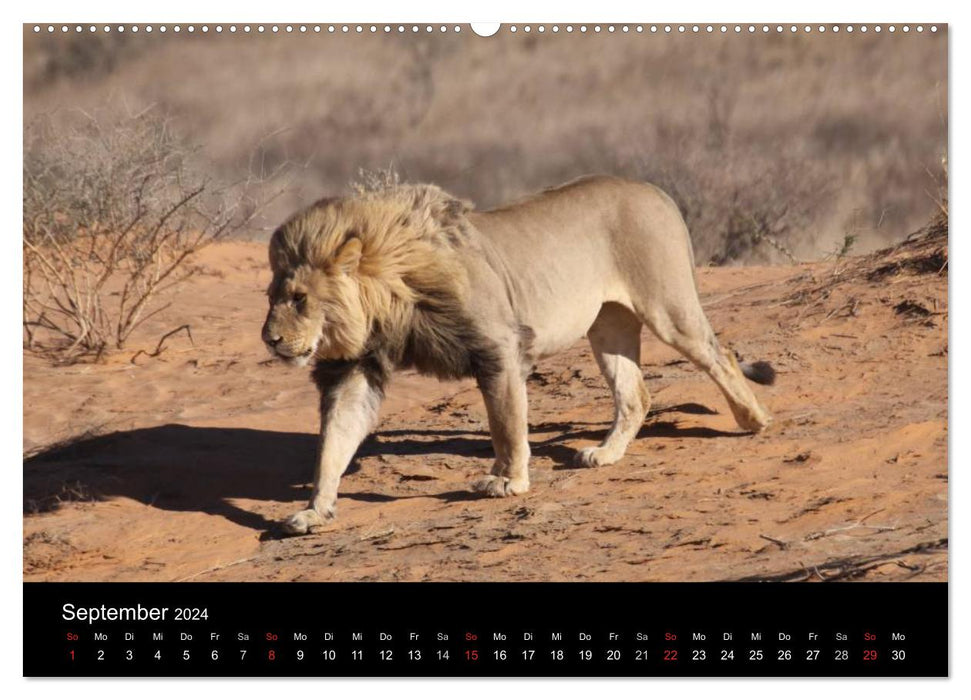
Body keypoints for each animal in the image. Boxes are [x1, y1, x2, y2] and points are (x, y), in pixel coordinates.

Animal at [260, 176, 776, 536]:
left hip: (667, 307)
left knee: (720, 356)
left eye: (300, 298)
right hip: (607, 325)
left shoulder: (500, 348)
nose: (270, 339)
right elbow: (334, 443)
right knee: (636, 394)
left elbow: (506, 426)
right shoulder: (354, 369)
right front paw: (315, 510)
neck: (390, 297)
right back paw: (606, 454)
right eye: (272, 297)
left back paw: (754, 419)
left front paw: (507, 483)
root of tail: (654, 189)